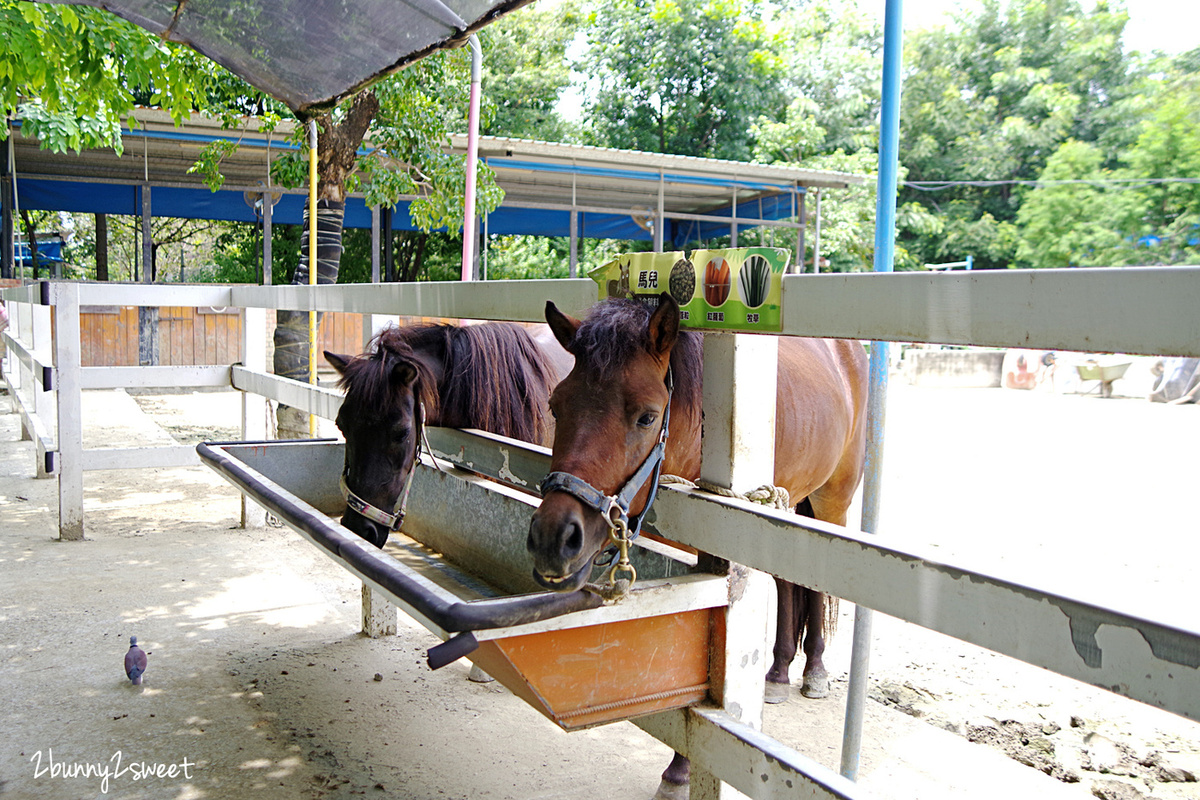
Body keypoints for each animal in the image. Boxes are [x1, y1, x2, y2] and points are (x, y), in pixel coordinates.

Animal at [525, 296, 864, 800]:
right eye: (555, 404)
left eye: (647, 416)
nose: (553, 538)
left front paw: (680, 771)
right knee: (788, 582)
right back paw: (778, 672)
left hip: (831, 503)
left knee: (816, 585)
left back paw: (816, 670)